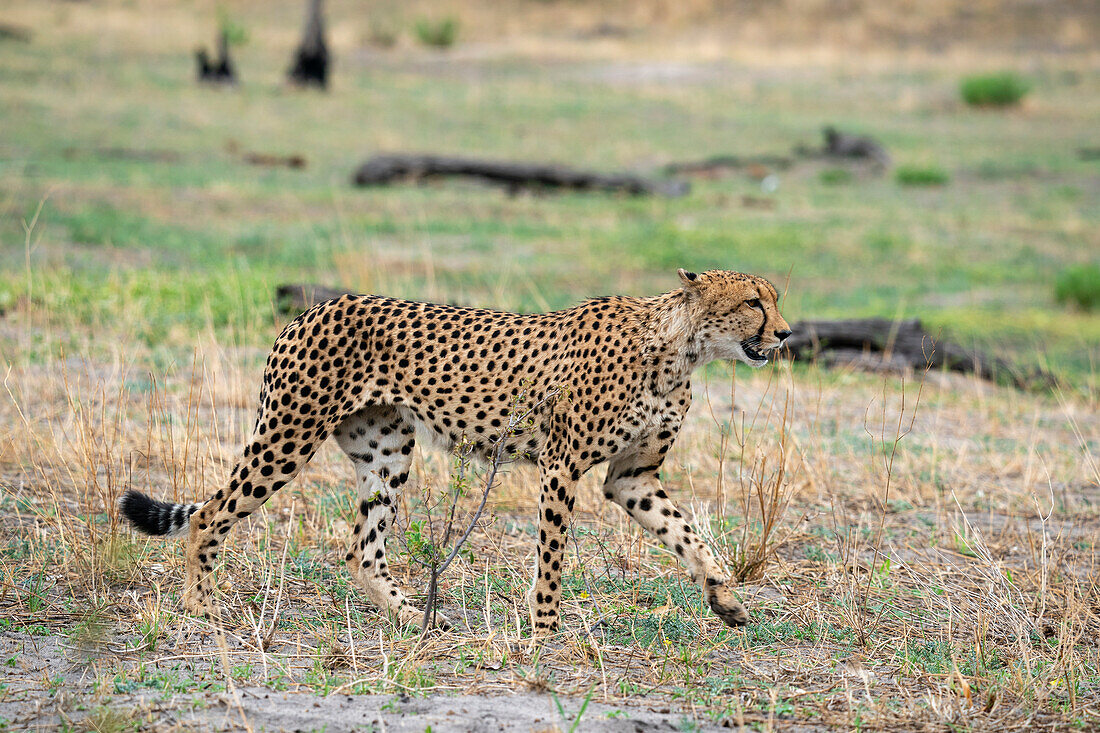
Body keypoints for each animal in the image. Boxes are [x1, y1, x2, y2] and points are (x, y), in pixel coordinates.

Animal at [120, 270, 792, 629]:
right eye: (753, 302)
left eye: (773, 298)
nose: (786, 334)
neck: (681, 348)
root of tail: (314, 306)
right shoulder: (563, 465)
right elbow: (552, 555)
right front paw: (544, 627)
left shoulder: (632, 476)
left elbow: (689, 534)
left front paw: (725, 598)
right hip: (289, 434)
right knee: (210, 514)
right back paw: (200, 608)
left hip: (387, 450)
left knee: (362, 550)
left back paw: (417, 617)